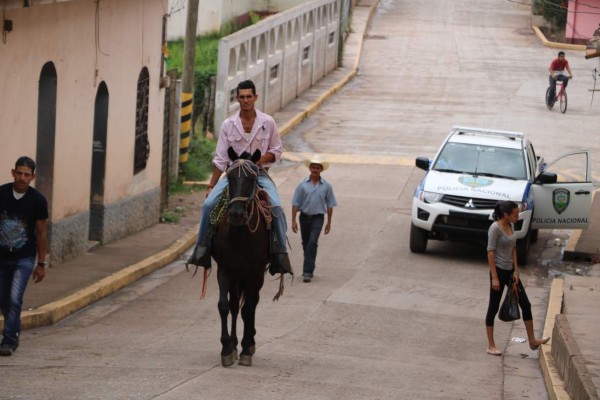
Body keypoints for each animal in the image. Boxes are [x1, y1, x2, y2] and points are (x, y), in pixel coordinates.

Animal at [211, 147, 278, 366]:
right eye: (229, 177)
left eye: (253, 178)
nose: (237, 214)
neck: (240, 234)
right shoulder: (225, 269)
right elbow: (224, 306)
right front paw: (227, 348)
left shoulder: (255, 272)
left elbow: (249, 308)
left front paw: (247, 348)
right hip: (236, 276)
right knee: (234, 305)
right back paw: (233, 344)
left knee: (252, 303)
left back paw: (249, 341)